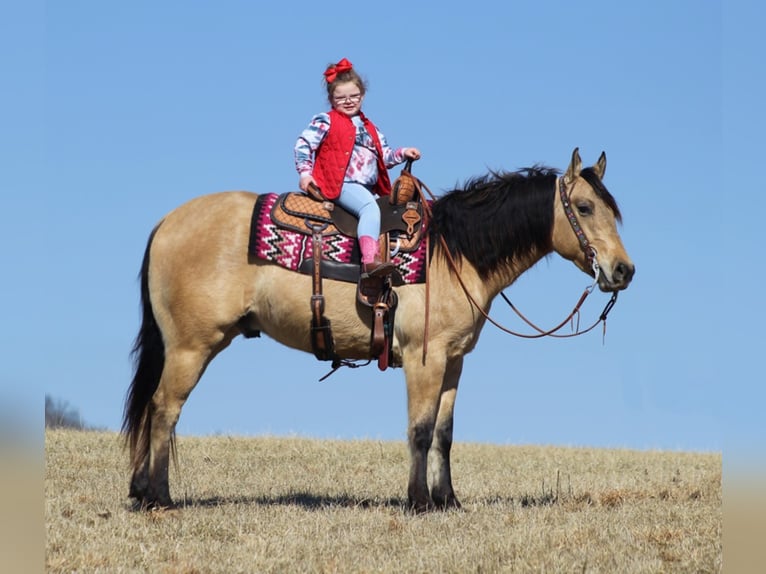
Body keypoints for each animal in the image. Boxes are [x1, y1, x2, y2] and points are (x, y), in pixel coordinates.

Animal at [120, 147, 636, 512]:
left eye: (610, 209)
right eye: (584, 207)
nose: (623, 270)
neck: (453, 252)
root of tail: (167, 223)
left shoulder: (454, 361)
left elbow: (445, 433)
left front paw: (448, 500)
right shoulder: (425, 357)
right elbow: (420, 430)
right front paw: (419, 502)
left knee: (154, 410)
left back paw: (142, 491)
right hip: (190, 347)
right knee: (163, 410)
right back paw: (158, 497)